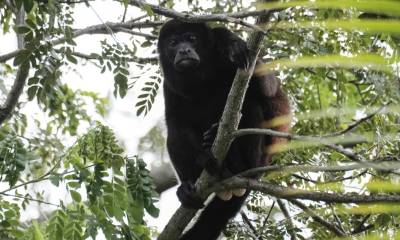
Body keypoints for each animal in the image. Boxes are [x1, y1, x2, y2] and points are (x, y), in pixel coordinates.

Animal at [157, 19, 290, 239]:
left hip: (259, 158)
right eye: (173, 43)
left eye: (192, 38)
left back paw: (236, 163)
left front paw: (233, 45)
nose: (184, 50)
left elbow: (268, 87)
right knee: (173, 136)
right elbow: (177, 124)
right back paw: (190, 184)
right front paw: (203, 158)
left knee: (252, 104)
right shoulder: (169, 84)